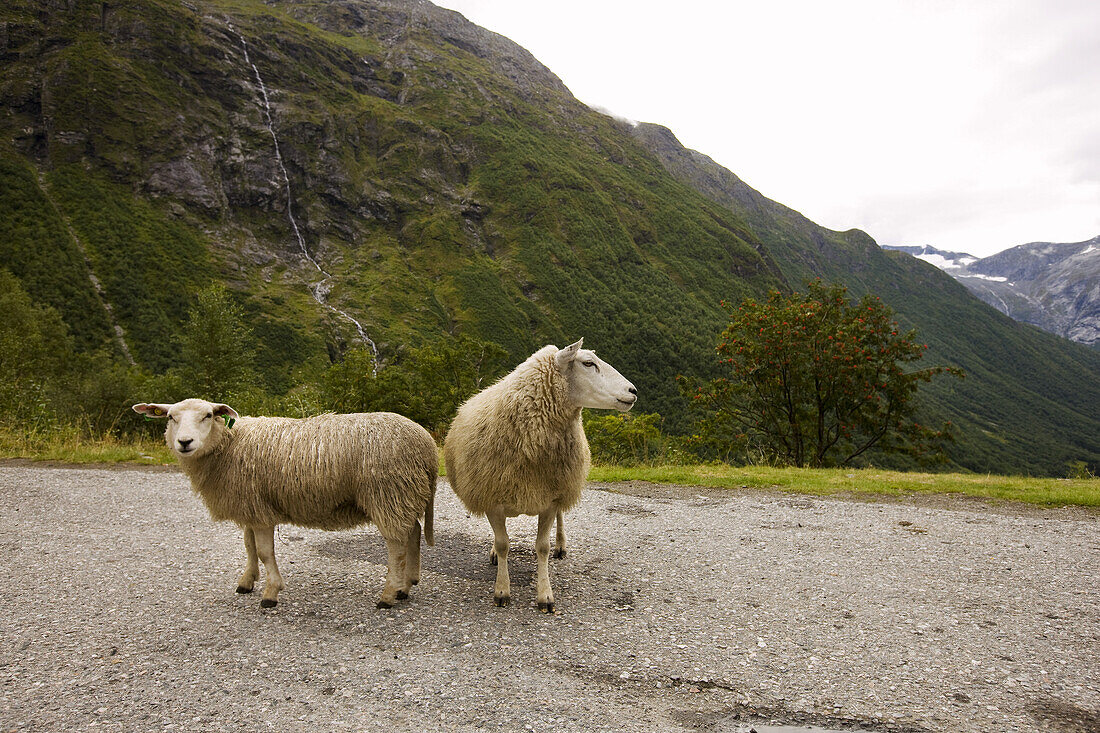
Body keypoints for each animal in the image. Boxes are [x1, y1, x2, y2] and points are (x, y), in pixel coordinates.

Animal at [130, 396, 435, 607]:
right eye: (171, 417)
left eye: (208, 415)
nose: (184, 442)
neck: (230, 444)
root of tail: (426, 442)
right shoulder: (250, 506)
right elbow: (249, 547)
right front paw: (246, 582)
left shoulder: (259, 510)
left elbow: (265, 552)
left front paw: (270, 593)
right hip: (404, 494)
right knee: (413, 533)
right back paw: (406, 586)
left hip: (388, 494)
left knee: (397, 545)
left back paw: (388, 594)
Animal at [442, 338, 638, 611]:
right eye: (588, 363)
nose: (633, 391)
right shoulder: (492, 496)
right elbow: (503, 543)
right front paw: (502, 590)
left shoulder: (551, 497)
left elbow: (542, 547)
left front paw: (545, 595)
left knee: (561, 519)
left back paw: (561, 546)